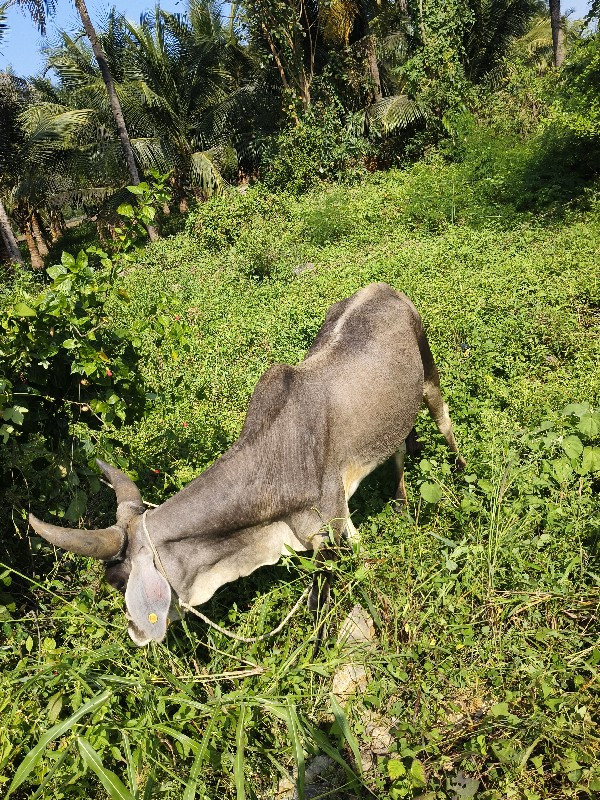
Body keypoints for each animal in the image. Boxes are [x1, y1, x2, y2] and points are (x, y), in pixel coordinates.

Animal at [30, 284, 466, 648]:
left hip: (429, 374)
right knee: (399, 448)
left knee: (444, 422)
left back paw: (461, 471)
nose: (136, 633)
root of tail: (382, 288)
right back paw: (401, 501)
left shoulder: (331, 530)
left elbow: (321, 605)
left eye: (119, 581)